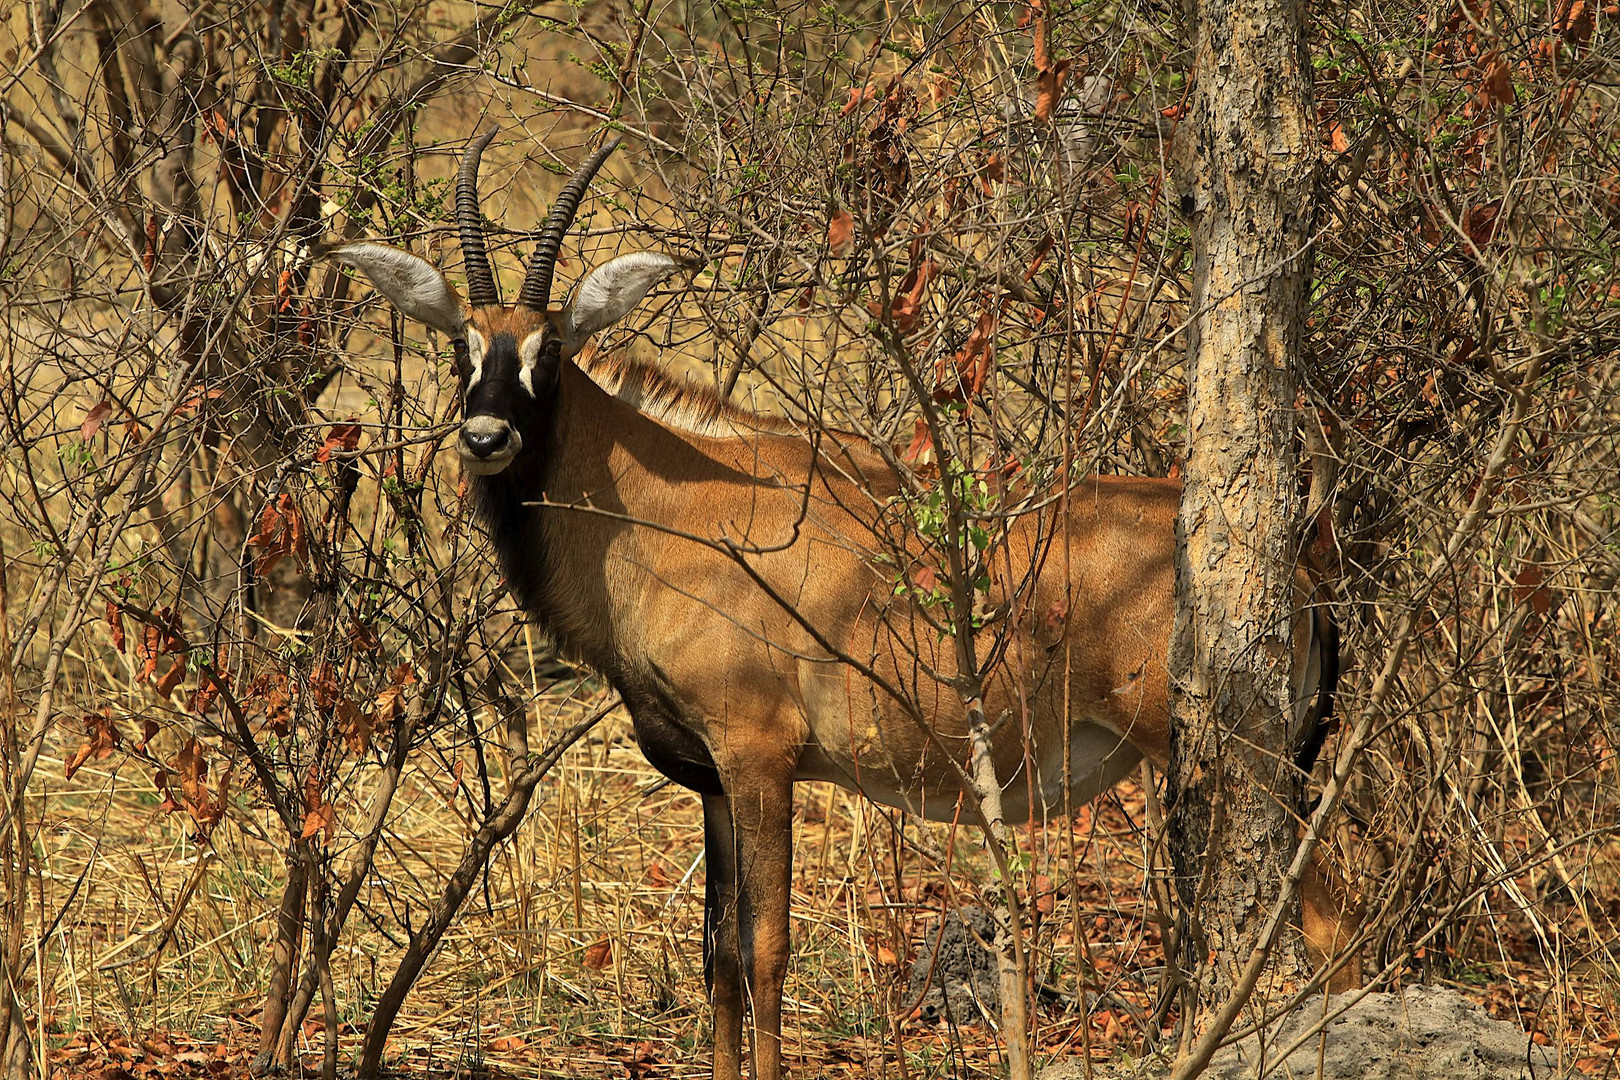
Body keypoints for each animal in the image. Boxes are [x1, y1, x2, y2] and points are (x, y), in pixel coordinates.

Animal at [338, 132, 1354, 1080]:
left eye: (550, 349)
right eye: (463, 343)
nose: (486, 436)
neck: (667, 507)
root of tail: (1306, 576)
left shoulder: (760, 759)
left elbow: (766, 953)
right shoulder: (711, 780)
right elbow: (718, 962)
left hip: (1237, 766)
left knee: (1329, 936)